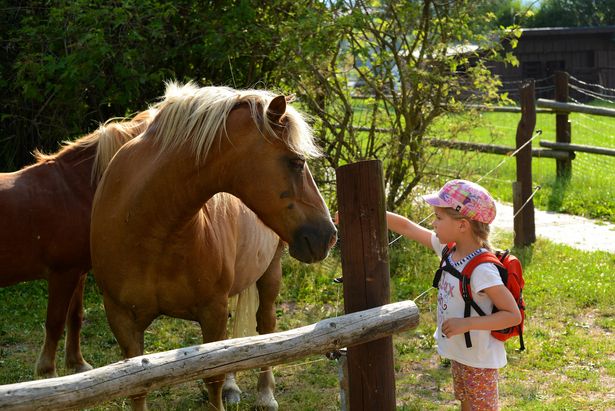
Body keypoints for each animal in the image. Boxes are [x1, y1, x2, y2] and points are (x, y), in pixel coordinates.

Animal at [0, 110, 154, 380]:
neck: (75, 189)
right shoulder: (62, 273)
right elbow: (55, 321)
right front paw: (47, 371)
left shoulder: (77, 272)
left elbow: (75, 317)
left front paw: (76, 364)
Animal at [92, 82, 340, 410]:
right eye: (296, 161)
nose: (329, 235)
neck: (151, 229)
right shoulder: (121, 318)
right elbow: (137, 387)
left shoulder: (212, 311)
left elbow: (213, 375)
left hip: (270, 274)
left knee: (266, 325)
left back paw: (265, 394)